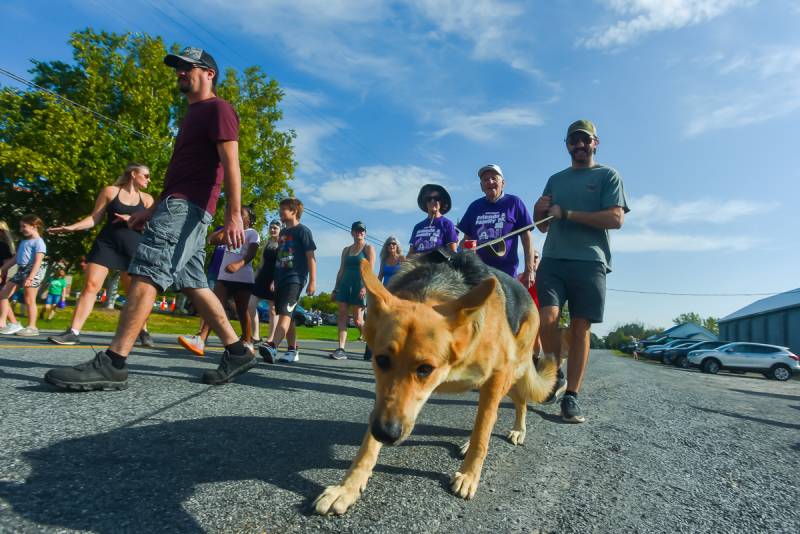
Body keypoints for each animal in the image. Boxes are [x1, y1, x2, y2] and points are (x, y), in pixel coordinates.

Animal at [312, 253, 556, 516]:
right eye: (381, 360)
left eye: (425, 369)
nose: (385, 434)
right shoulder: (384, 405)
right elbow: (367, 446)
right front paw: (347, 487)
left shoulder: (498, 375)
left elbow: (483, 432)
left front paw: (469, 475)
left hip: (513, 372)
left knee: (515, 403)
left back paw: (518, 430)